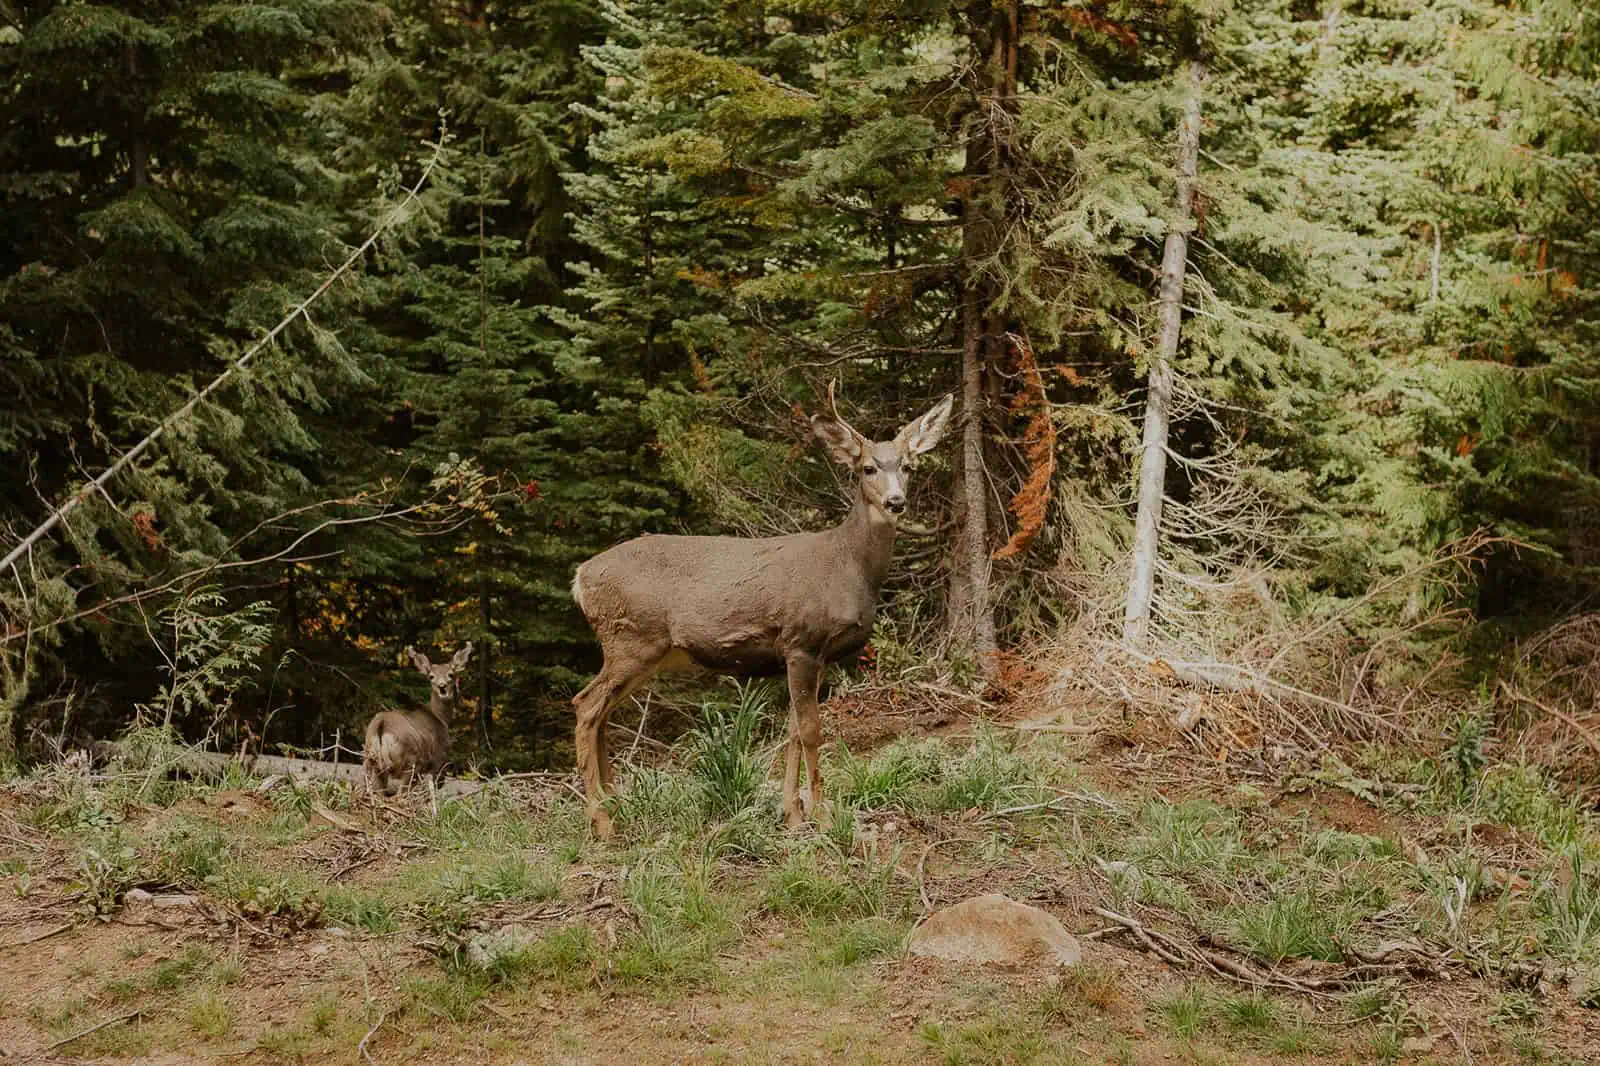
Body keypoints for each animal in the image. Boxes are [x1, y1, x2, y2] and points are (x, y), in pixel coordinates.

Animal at [363, 643, 473, 795]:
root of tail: (381, 726)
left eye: (451, 674)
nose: (442, 687)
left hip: (372, 760)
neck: (440, 718)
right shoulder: (438, 759)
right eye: (431, 676)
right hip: (410, 762)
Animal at [569, 383, 954, 838]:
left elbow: (792, 730)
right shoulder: (801, 640)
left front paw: (792, 814)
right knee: (585, 706)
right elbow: (811, 730)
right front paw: (821, 816)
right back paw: (601, 821)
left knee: (602, 714)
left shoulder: (813, 655)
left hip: (644, 651)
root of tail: (581, 577)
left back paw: (616, 808)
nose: (896, 502)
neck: (847, 565)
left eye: (909, 466)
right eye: (867, 469)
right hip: (631, 638)